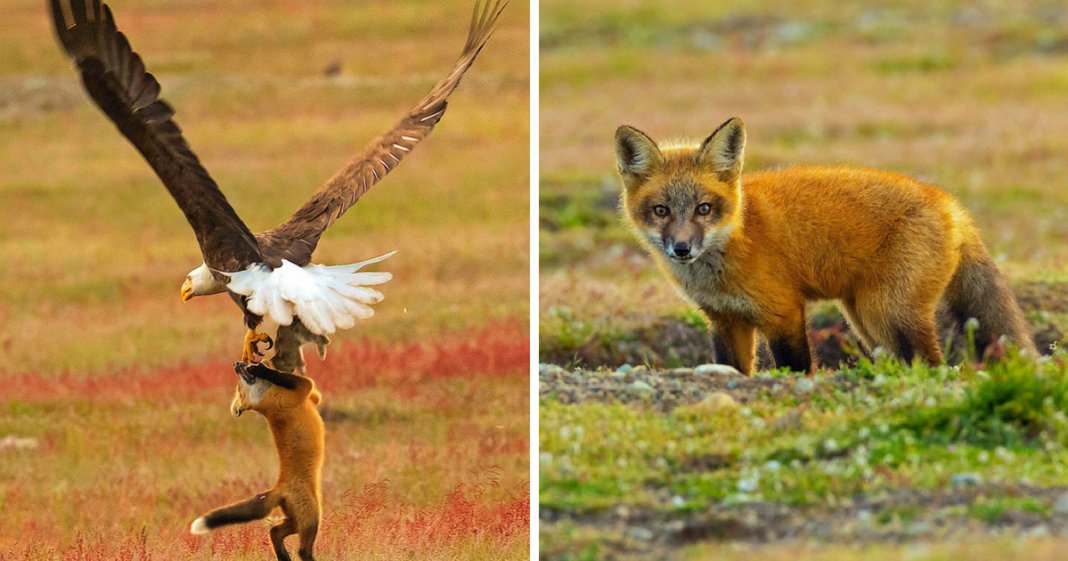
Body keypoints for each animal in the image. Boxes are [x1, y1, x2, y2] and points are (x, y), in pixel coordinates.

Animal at [619, 115, 1033, 374]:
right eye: (661, 211)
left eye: (704, 209)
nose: (682, 249)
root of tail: (949, 202)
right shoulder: (724, 319)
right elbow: (733, 369)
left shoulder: (783, 311)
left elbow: (797, 367)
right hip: (867, 319)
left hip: (889, 311)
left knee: (931, 362)